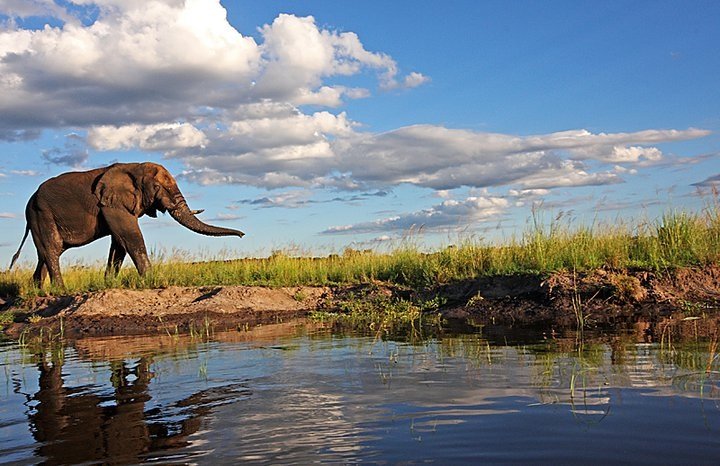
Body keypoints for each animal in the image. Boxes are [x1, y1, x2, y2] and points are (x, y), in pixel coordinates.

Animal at [9, 163, 245, 288]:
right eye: (158, 187)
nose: (243, 235)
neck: (135, 167)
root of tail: (30, 200)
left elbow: (119, 243)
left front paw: (108, 284)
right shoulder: (113, 203)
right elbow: (130, 235)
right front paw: (152, 280)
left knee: (45, 253)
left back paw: (38, 290)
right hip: (41, 214)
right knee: (52, 250)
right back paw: (61, 291)